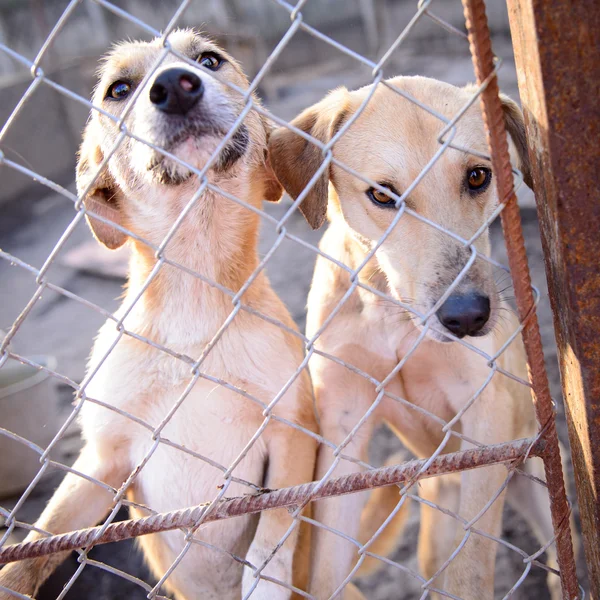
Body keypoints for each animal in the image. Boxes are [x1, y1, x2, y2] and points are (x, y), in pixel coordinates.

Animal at [0, 31, 316, 600]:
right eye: (119, 89)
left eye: (209, 59)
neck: (195, 297)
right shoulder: (104, 458)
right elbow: (38, 542)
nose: (175, 86)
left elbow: (271, 541)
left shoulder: (292, 431)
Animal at [270, 76, 560, 600]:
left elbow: (472, 569)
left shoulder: (484, 413)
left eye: (477, 176)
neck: (393, 316)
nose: (467, 317)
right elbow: (325, 570)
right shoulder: (343, 435)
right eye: (383, 195)